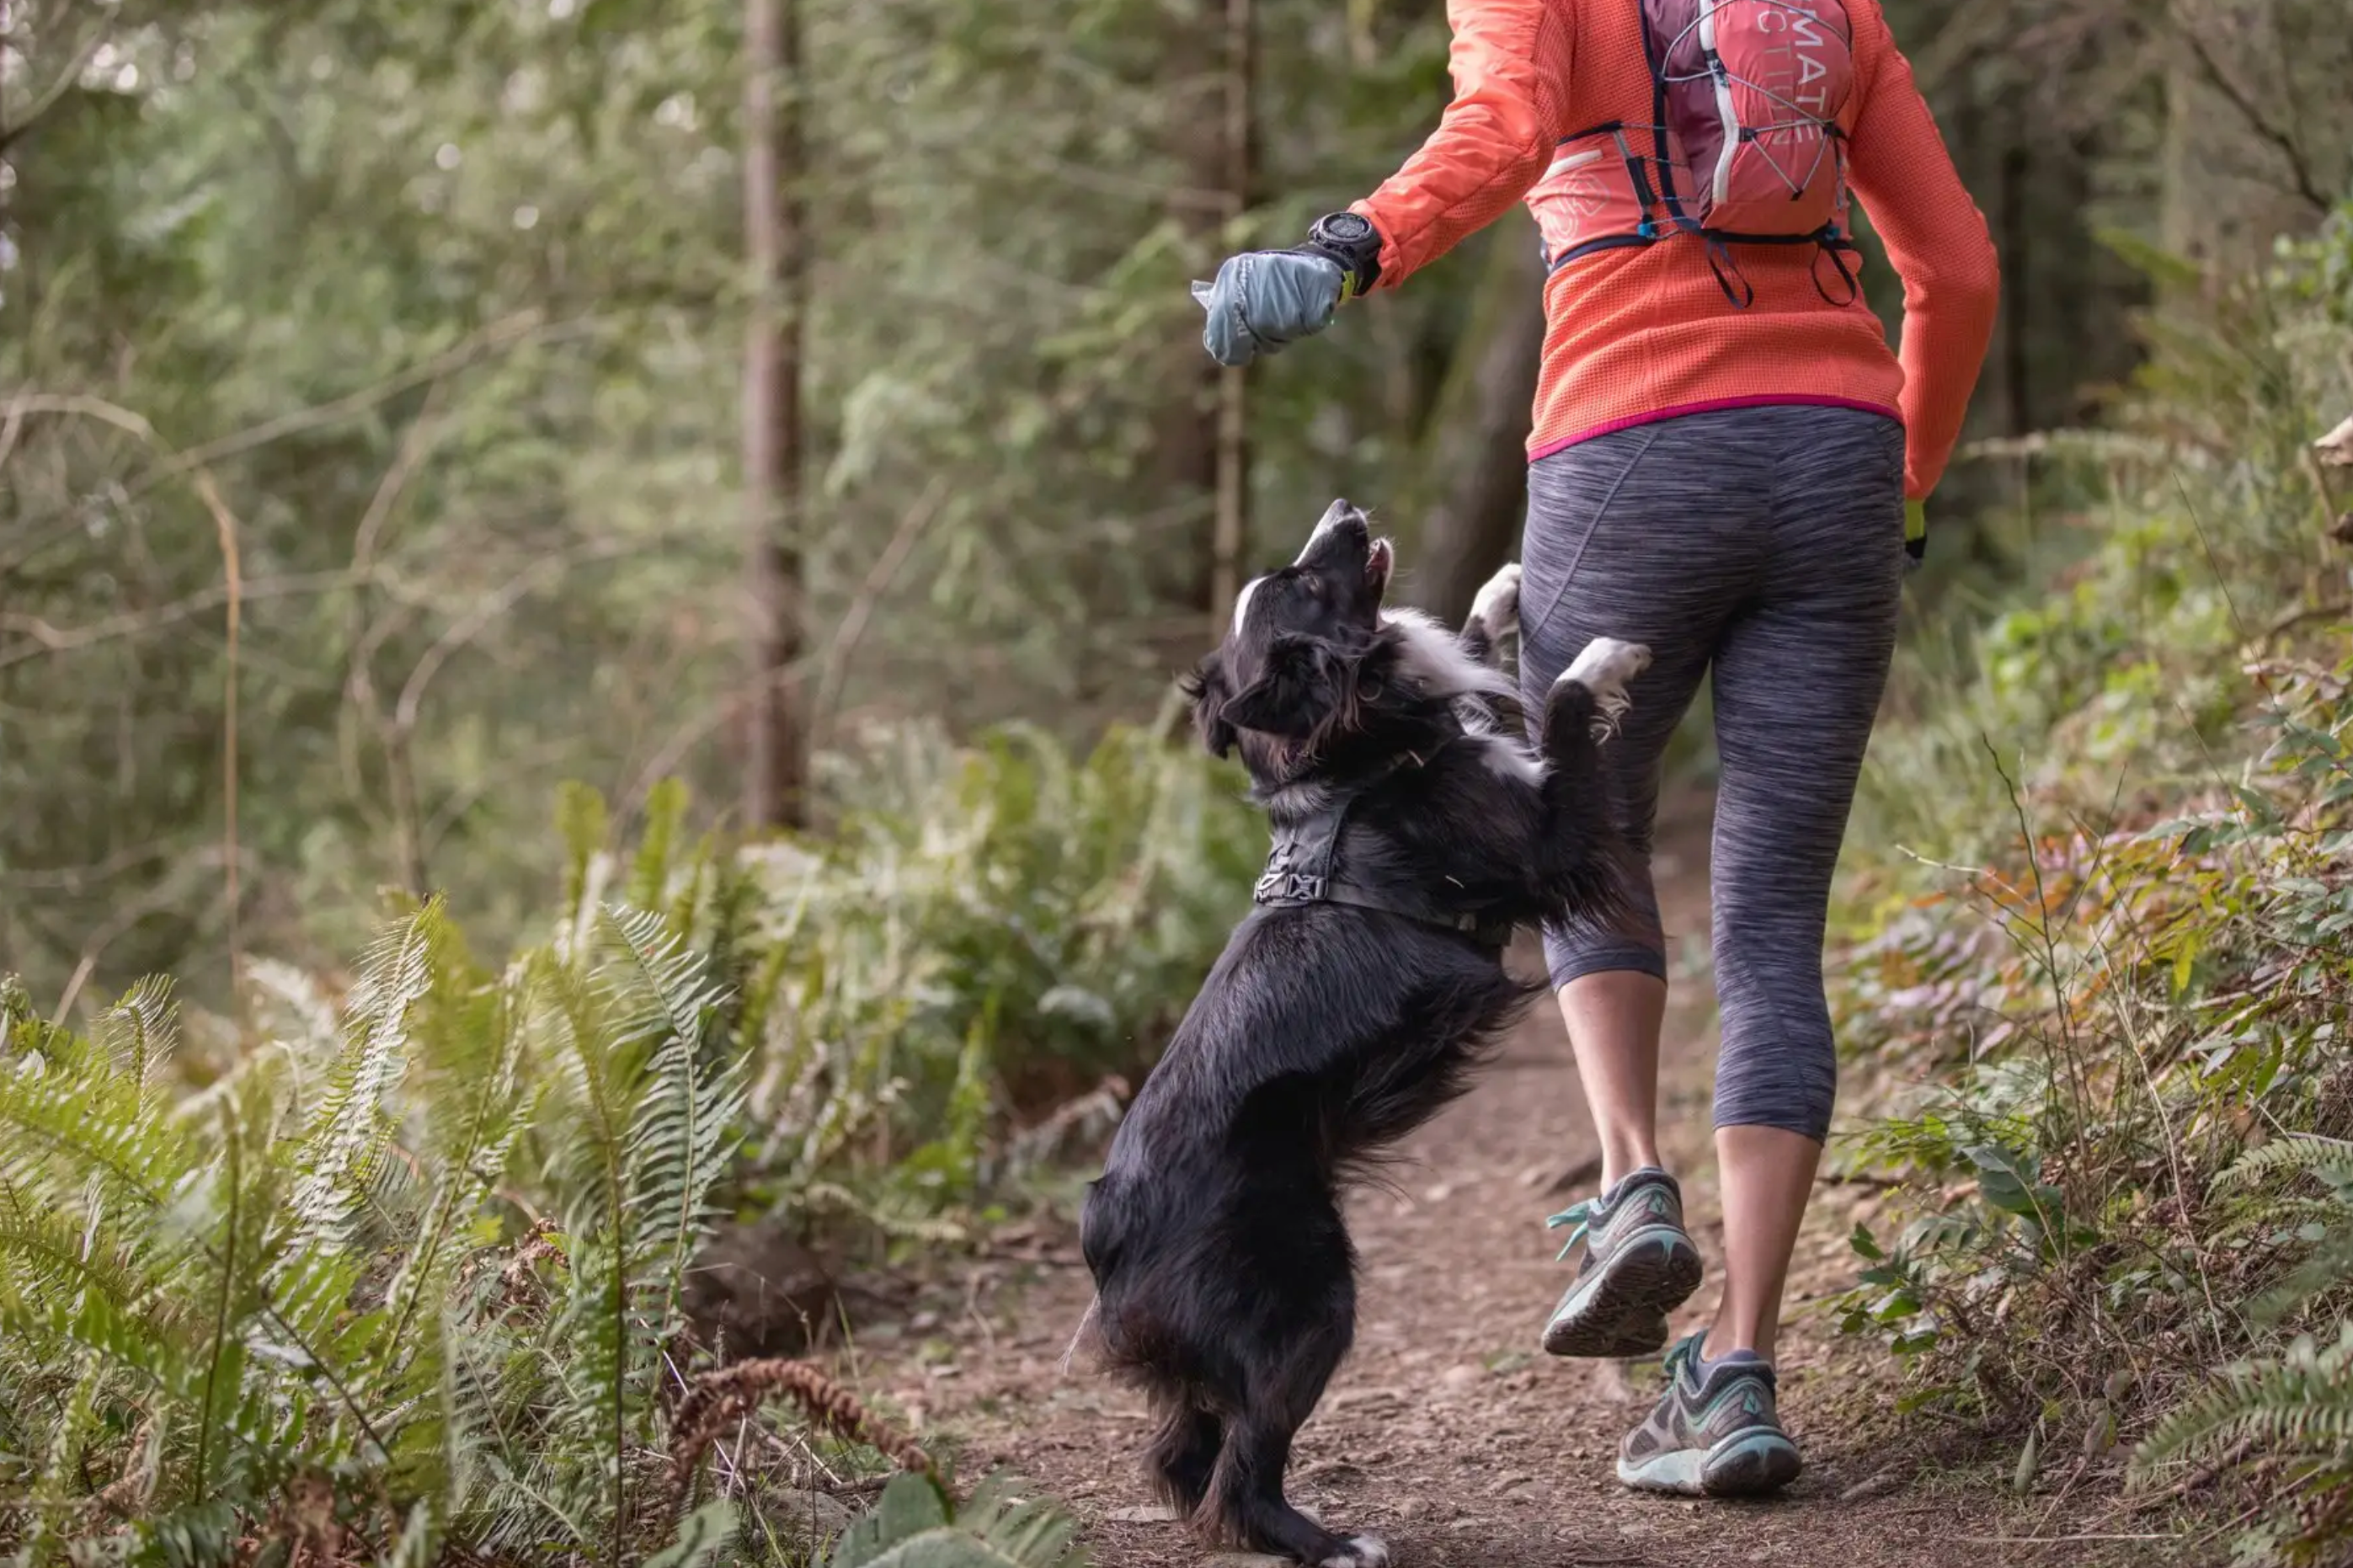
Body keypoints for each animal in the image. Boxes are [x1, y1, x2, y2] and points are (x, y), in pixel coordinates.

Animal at [1077, 501, 1646, 1563]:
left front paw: (1499, 590)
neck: (1352, 759)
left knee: (1182, 1452)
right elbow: (1558, 712)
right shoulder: (1545, 842)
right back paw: (1330, 1540)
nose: (1344, 510)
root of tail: (1102, 1231)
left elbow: (1480, 660)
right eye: (1306, 583)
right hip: (1311, 1294)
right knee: (1239, 1464)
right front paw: (1601, 655)